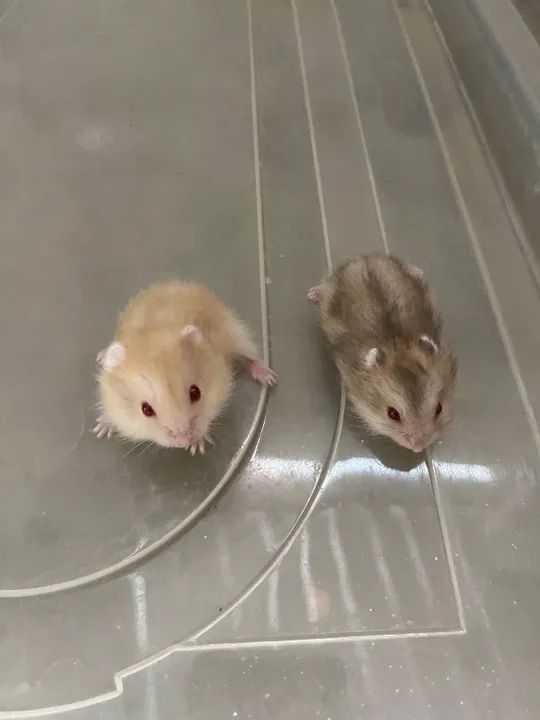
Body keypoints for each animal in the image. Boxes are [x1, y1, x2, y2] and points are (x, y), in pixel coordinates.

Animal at [94, 281, 276, 454]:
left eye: (196, 392)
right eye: (146, 410)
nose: (184, 442)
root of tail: (172, 283)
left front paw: (197, 448)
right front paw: (100, 430)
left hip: (237, 332)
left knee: (251, 355)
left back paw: (269, 378)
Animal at [308, 254, 456, 453]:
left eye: (439, 408)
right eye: (392, 414)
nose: (419, 447)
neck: (397, 343)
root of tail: (365, 258)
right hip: (332, 286)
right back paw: (312, 294)